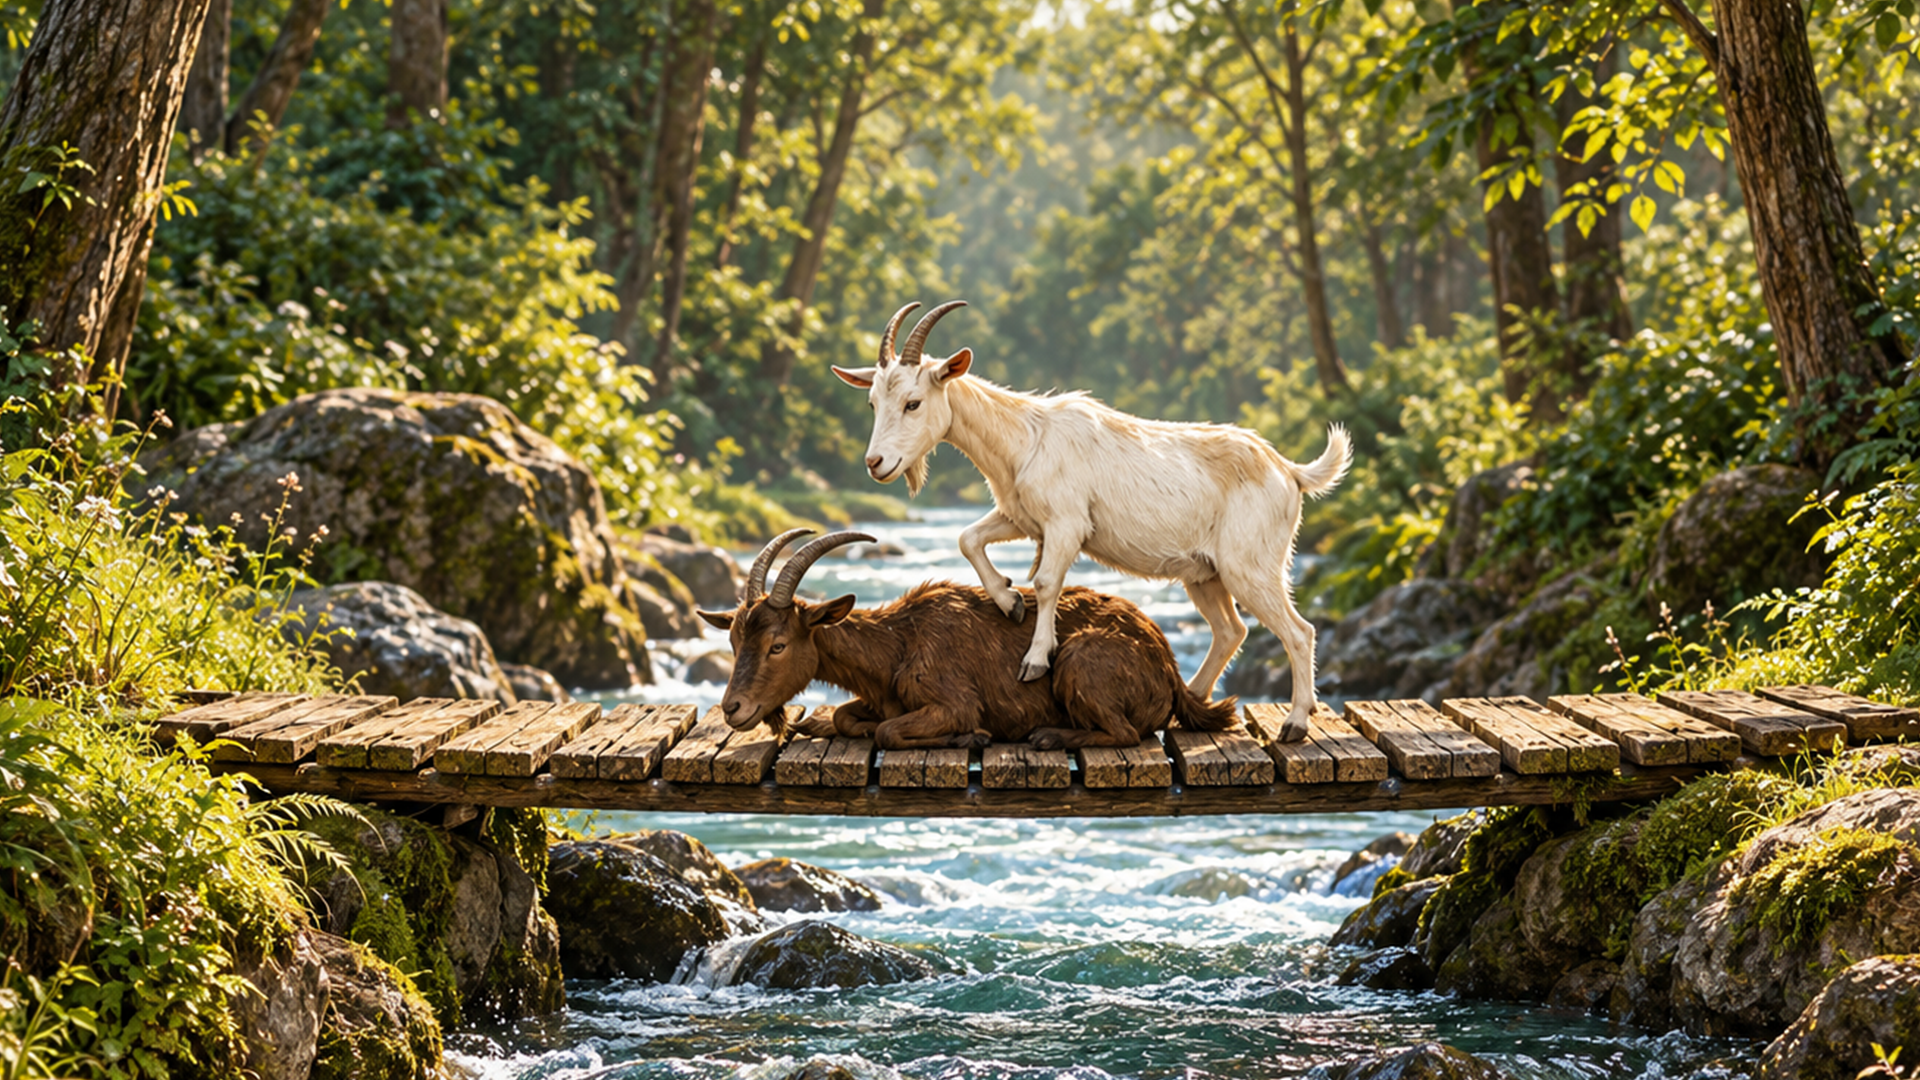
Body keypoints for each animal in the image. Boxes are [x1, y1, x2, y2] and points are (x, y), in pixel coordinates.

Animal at [697, 530, 1238, 750]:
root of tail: (1168, 667)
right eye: (734, 643)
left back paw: (1049, 736)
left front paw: (971, 735)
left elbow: (888, 731)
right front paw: (827, 722)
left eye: (778, 645)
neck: (898, 643)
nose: (734, 709)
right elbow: (853, 718)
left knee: (1125, 733)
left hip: (1081, 660)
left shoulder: (951, 699)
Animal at [830, 301, 1350, 742]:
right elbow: (967, 537)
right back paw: (1194, 705)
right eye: (873, 403)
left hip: (1251, 565)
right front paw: (1008, 601)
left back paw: (1295, 724)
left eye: (914, 402)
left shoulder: (1066, 524)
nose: (876, 463)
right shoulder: (1022, 517)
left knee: (1298, 631)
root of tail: (1288, 471)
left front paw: (1035, 661)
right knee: (1230, 631)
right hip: (1205, 572)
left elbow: (1045, 583)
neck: (1025, 437)